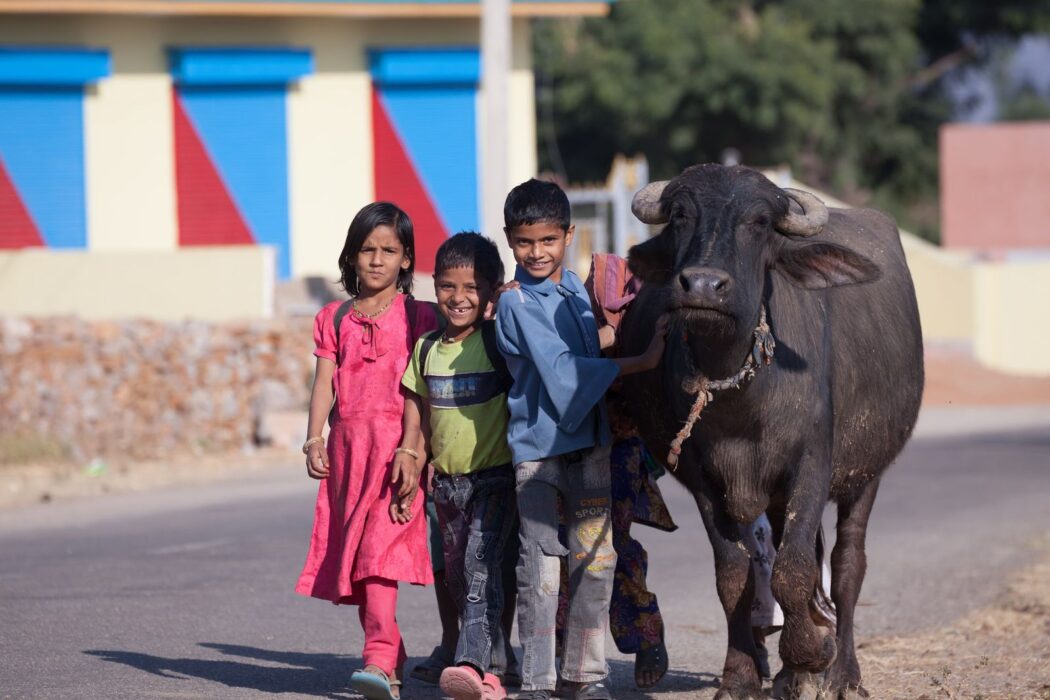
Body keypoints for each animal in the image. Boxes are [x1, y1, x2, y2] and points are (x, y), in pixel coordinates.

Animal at [617, 165, 923, 700]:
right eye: (680, 216)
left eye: (759, 222)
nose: (702, 285)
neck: (741, 398)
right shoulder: (703, 480)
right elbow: (734, 574)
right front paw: (742, 675)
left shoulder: (812, 466)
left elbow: (794, 570)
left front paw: (813, 652)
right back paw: (786, 675)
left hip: (867, 472)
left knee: (847, 563)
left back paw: (843, 672)